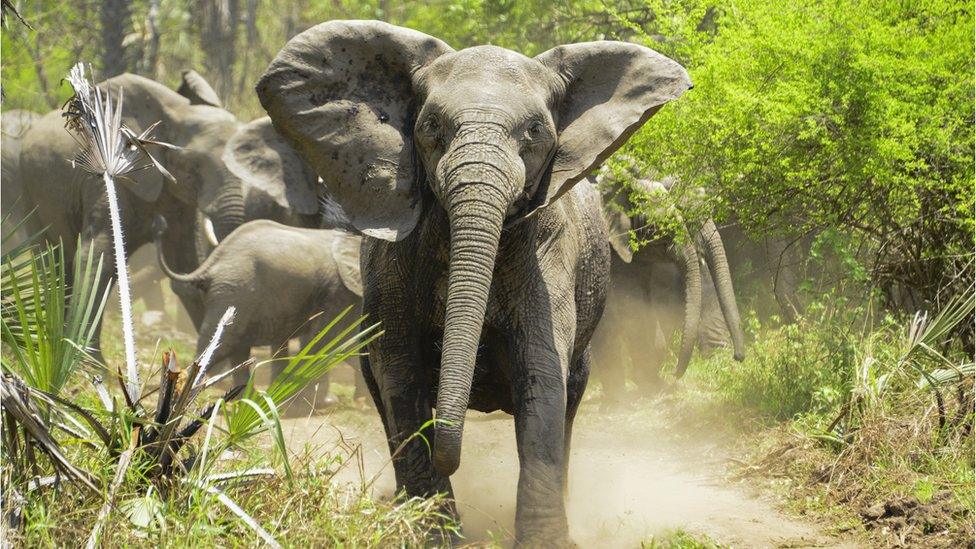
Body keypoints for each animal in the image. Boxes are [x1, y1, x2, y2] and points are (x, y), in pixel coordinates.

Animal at [17, 69, 320, 360]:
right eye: (193, 166)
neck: (175, 114)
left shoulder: (180, 204)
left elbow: (185, 265)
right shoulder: (104, 180)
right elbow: (97, 259)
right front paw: (89, 363)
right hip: (30, 192)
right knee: (51, 259)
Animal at [151, 216, 364, 404]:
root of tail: (212, 263)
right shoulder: (337, 289)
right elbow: (332, 339)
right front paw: (325, 402)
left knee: (237, 348)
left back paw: (249, 398)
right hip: (235, 290)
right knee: (223, 345)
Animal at [255, 20, 692, 544]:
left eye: (535, 131)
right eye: (430, 128)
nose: (454, 456)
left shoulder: (549, 254)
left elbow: (541, 369)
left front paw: (543, 542)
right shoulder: (393, 264)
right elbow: (400, 374)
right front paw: (432, 534)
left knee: (571, 395)